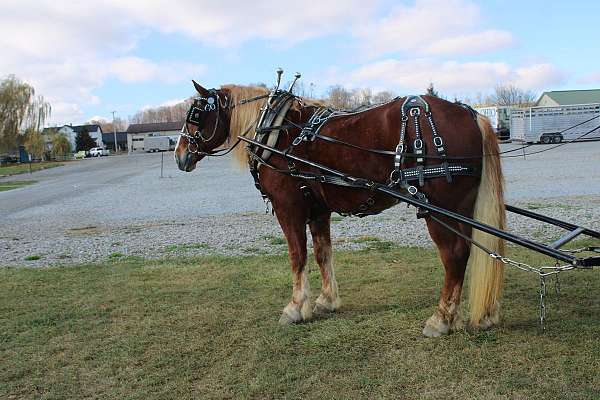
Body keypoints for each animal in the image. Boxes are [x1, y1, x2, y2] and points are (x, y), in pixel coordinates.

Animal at [175, 79, 506, 336]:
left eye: (195, 116)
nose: (179, 154)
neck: (277, 132)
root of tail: (470, 114)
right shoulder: (318, 208)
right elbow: (323, 253)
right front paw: (326, 300)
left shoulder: (288, 207)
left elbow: (297, 255)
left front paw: (296, 307)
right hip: (461, 207)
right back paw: (482, 313)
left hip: (438, 208)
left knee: (454, 254)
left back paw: (441, 318)